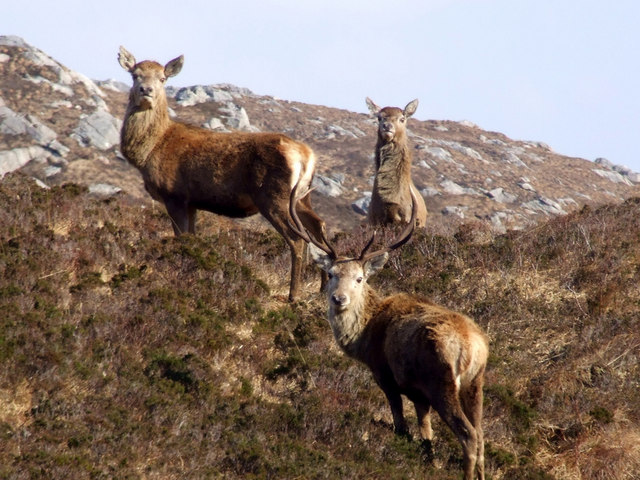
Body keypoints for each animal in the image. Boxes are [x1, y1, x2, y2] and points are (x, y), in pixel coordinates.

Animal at [116, 46, 324, 300]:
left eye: (163, 78)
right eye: (135, 75)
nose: (146, 90)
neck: (150, 150)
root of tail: (306, 155)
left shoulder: (174, 195)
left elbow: (181, 239)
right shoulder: (192, 203)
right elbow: (192, 239)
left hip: (274, 197)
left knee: (297, 239)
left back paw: (294, 295)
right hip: (303, 197)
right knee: (319, 227)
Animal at [290, 186, 490, 478]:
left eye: (359, 278)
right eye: (331, 273)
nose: (339, 298)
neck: (364, 336)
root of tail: (473, 347)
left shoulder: (385, 375)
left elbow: (401, 427)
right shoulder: (419, 394)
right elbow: (426, 432)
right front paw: (429, 461)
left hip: (442, 381)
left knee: (469, 435)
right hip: (475, 384)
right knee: (482, 435)